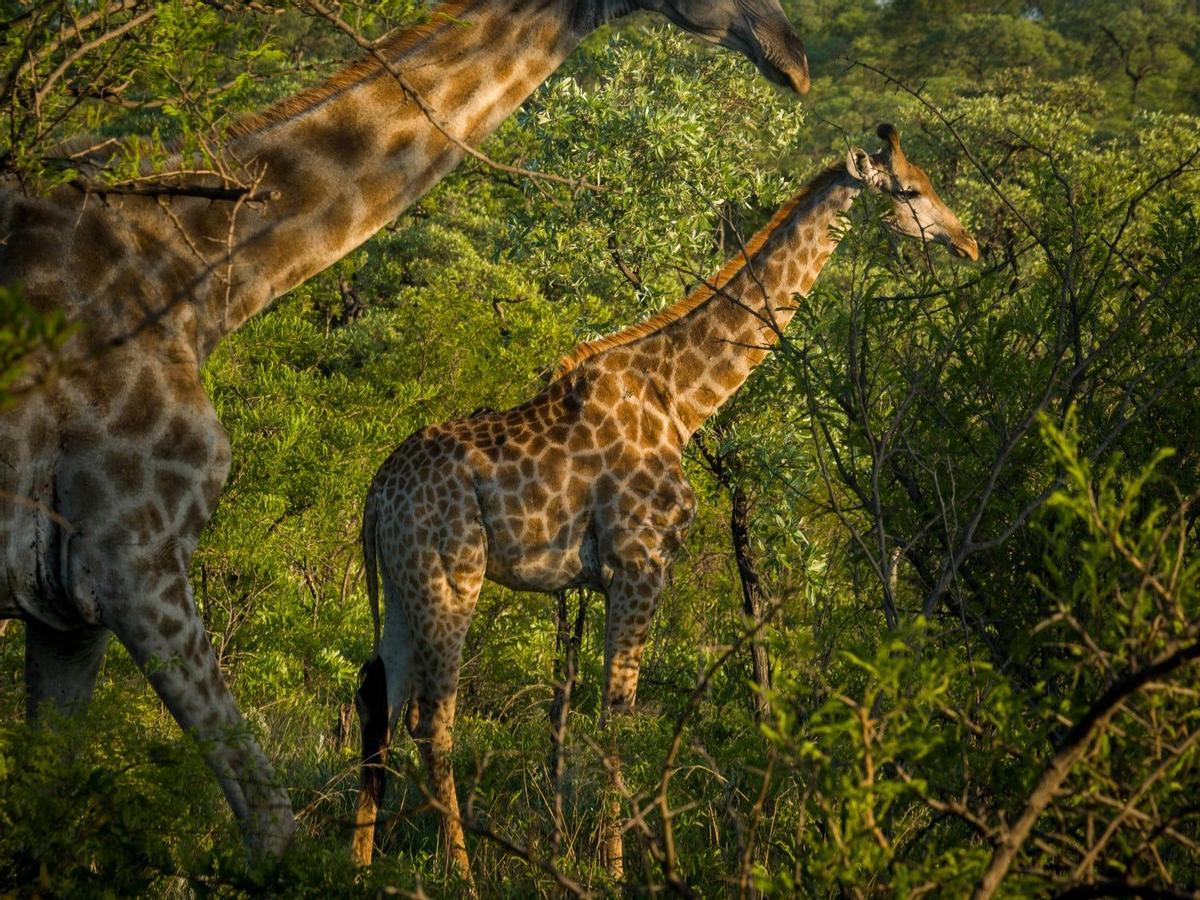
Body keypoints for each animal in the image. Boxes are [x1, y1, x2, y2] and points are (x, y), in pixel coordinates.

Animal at [352, 123, 974, 878]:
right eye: (911, 189)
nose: (968, 242)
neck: (681, 400)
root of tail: (376, 496)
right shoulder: (639, 563)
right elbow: (617, 714)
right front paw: (615, 868)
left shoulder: (612, 576)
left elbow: (602, 712)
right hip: (451, 577)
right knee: (431, 718)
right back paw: (462, 875)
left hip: (401, 582)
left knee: (377, 699)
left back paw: (357, 864)